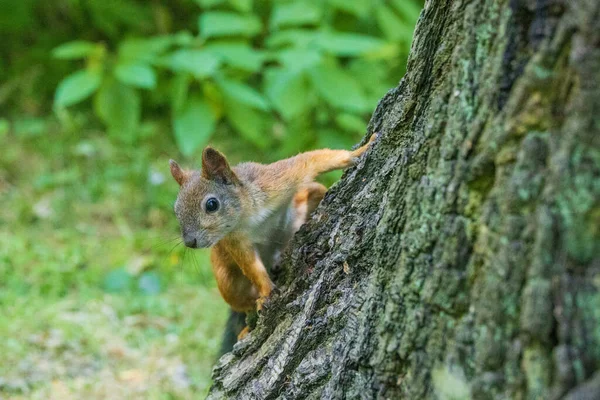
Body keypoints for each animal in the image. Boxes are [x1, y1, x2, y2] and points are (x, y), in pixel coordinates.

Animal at [169, 133, 376, 326]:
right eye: (176, 209)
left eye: (211, 204)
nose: (190, 242)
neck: (247, 216)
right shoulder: (234, 240)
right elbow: (252, 266)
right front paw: (266, 292)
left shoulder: (275, 180)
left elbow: (311, 160)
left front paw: (360, 150)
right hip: (226, 279)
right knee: (243, 304)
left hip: (312, 194)